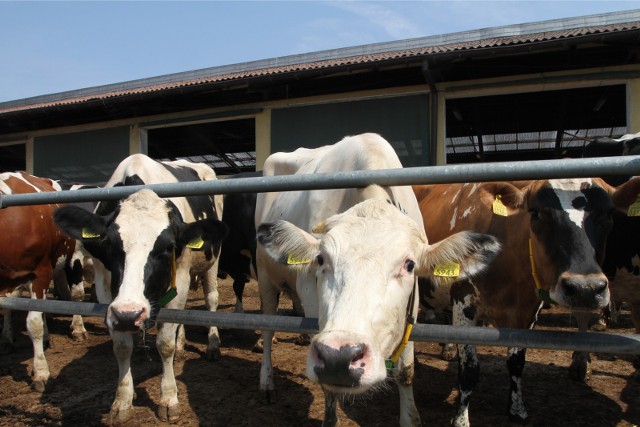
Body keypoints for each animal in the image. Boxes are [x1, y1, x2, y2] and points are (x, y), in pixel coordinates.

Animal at [53, 155, 228, 426]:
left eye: (168, 247)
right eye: (109, 244)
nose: (129, 314)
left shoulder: (180, 278)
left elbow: (164, 343)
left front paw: (169, 399)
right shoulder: (105, 288)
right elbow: (122, 345)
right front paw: (123, 399)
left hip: (211, 260)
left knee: (211, 300)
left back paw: (212, 345)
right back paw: (182, 345)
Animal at [254, 135, 500, 427]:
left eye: (409, 264)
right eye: (321, 259)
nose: (339, 358)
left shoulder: (410, 306)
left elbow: (406, 370)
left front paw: (409, 418)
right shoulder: (311, 297)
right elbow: (328, 388)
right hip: (264, 277)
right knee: (267, 329)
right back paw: (267, 383)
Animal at [410, 176, 640, 426]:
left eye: (608, 214)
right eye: (536, 213)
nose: (585, 288)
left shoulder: (527, 312)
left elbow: (517, 363)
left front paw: (516, 409)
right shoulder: (464, 304)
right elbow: (469, 370)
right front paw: (461, 420)